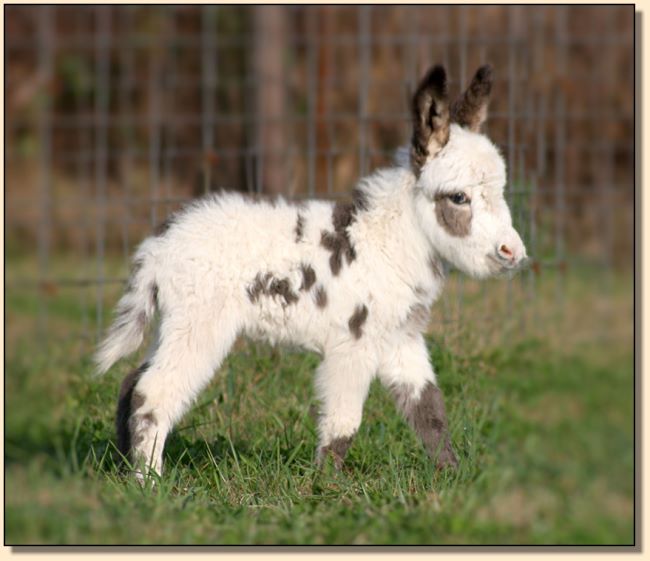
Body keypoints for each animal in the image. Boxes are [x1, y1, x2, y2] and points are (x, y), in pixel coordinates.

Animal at [95, 64, 528, 476]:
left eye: (500, 191)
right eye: (458, 198)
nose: (514, 253)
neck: (386, 243)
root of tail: (157, 248)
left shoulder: (401, 338)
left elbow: (430, 411)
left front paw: (451, 478)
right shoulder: (353, 343)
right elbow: (343, 423)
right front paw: (326, 487)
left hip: (176, 325)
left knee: (131, 384)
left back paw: (125, 471)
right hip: (199, 325)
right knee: (153, 393)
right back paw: (150, 482)